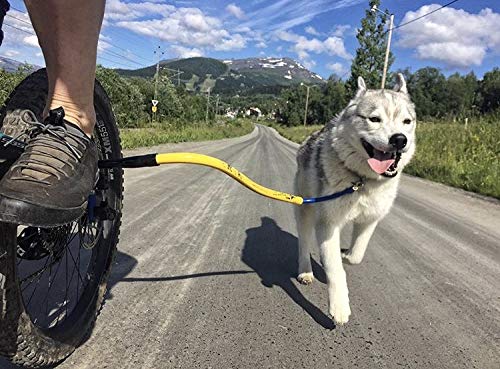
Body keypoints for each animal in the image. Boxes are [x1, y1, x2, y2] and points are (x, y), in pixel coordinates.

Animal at [294, 73, 416, 324]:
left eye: (406, 122)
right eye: (374, 119)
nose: (399, 139)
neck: (361, 180)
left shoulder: (370, 220)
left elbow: (355, 256)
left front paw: (346, 254)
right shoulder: (327, 224)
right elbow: (335, 269)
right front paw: (339, 307)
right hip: (305, 210)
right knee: (303, 243)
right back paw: (306, 271)